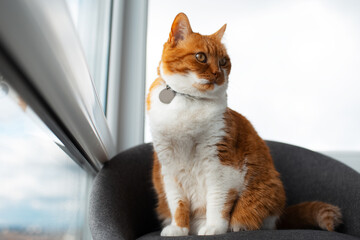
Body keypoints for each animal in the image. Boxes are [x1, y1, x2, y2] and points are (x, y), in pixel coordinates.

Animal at [146, 12, 340, 235]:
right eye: (201, 57)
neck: (189, 103)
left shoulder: (220, 166)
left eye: (223, 61)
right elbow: (177, 203)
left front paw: (214, 227)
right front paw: (178, 229)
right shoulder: (168, 169)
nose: (217, 73)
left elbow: (217, 201)